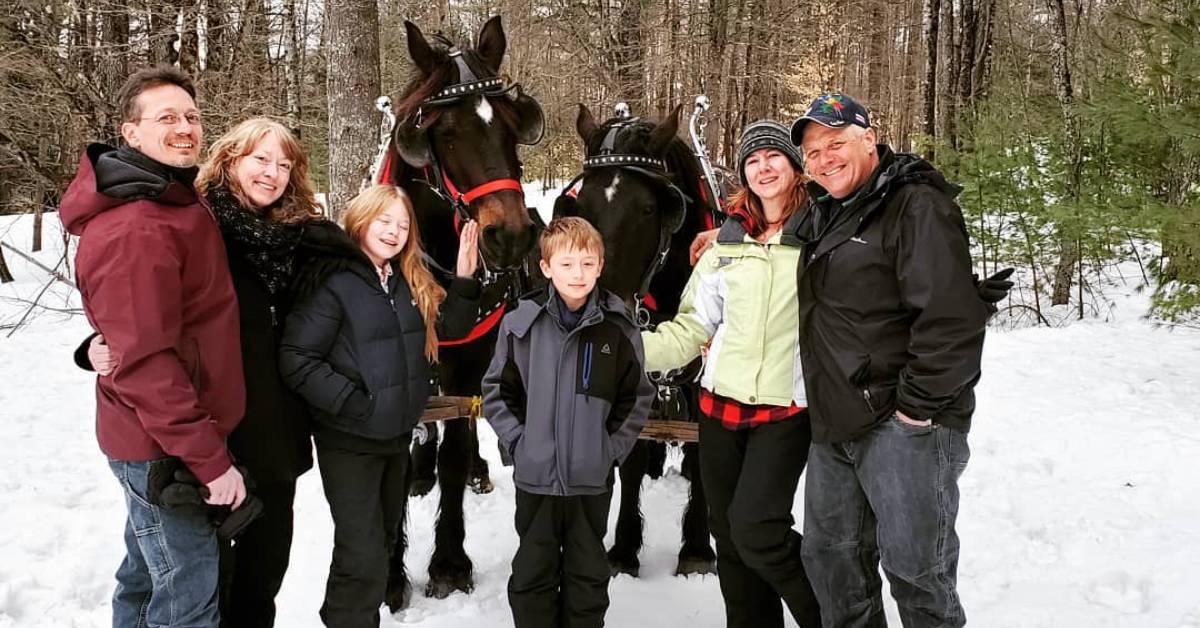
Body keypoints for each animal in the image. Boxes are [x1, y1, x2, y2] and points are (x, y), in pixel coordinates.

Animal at [374, 14, 544, 607]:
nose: (509, 236)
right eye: (443, 133)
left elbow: (454, 446)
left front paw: (448, 561)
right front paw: (390, 572)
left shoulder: (471, 362)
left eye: (513, 127)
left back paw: (474, 467)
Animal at [552, 103, 720, 581]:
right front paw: (625, 547)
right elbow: (629, 460)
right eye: (579, 205)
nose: (594, 301)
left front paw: (696, 547)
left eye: (649, 208)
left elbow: (701, 453)